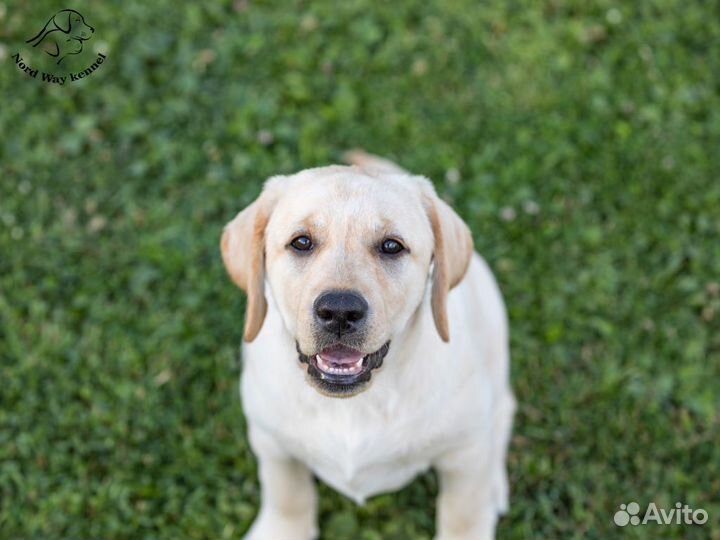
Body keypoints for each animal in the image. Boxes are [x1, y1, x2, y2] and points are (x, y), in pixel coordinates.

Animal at [222, 153, 516, 540]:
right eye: (301, 242)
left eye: (391, 246)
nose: (339, 311)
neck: (356, 405)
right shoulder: (271, 442)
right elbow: (287, 491)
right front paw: (283, 528)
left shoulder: (465, 452)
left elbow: (463, 512)